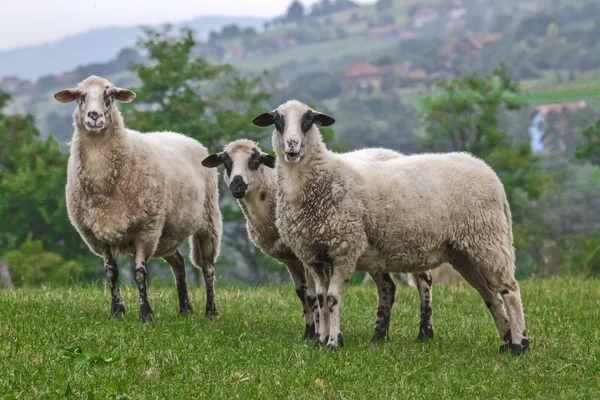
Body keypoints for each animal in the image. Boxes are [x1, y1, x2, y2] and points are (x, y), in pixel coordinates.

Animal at [53, 75, 223, 322]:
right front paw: (117, 312)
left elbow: (140, 274)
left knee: (208, 268)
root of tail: (184, 137)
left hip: (207, 219)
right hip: (167, 233)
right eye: (79, 96)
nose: (94, 116)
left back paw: (210, 311)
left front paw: (146, 315)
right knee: (179, 264)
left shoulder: (146, 229)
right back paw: (184, 309)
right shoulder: (97, 235)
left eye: (110, 95)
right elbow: (111, 274)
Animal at [202, 139, 436, 342]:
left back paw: (424, 334)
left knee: (424, 280)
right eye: (225, 160)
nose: (237, 185)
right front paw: (309, 332)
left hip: (413, 236)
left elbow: (314, 295)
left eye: (255, 159)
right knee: (387, 286)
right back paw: (379, 337)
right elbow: (302, 293)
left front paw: (319, 333)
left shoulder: (310, 252)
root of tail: (395, 153)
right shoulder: (292, 257)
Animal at [253, 101, 528, 356]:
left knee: (510, 290)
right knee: (491, 295)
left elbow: (332, 298)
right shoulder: (313, 255)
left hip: (488, 239)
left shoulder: (345, 249)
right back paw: (505, 342)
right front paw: (320, 341)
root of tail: (487, 170)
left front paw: (334, 342)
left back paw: (519, 344)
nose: (292, 145)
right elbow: (320, 299)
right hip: (464, 252)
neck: (320, 178)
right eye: (277, 120)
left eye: (308, 120)